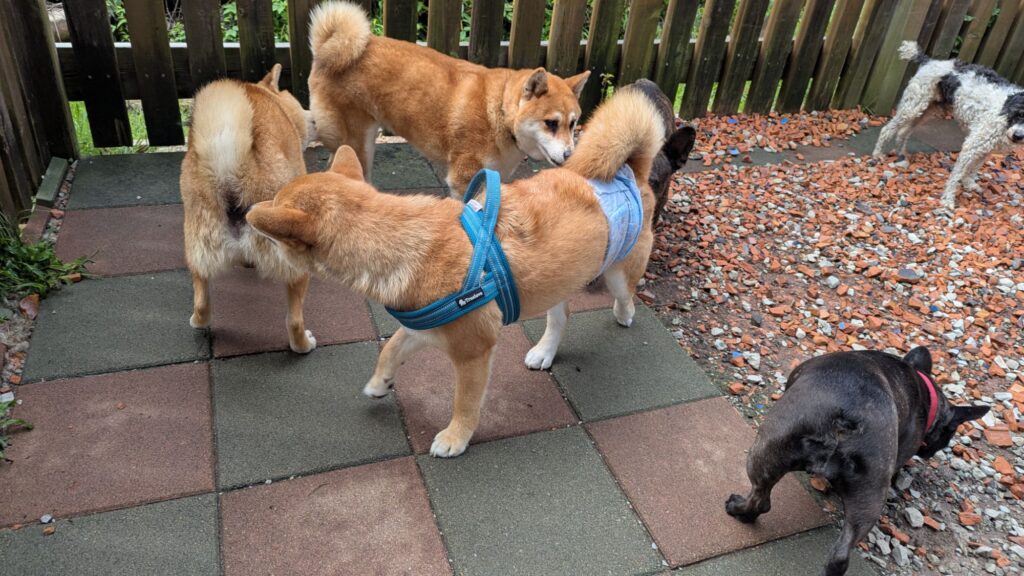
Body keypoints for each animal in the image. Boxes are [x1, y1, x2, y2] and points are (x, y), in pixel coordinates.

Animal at [180, 64, 318, 353]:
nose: (315, 121)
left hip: (197, 250)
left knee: (202, 304)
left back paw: (198, 321)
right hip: (293, 263)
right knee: (294, 321)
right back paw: (303, 345)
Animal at [245, 88, 665, 457]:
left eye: (273, 225)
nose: (245, 217)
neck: (403, 243)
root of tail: (631, 171)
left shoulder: (473, 352)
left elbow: (465, 404)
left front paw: (455, 438)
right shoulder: (422, 326)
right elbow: (390, 349)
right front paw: (380, 383)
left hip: (617, 272)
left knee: (625, 297)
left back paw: (623, 315)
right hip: (560, 280)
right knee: (562, 316)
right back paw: (545, 351)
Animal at [307, 1, 590, 193]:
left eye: (573, 123)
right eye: (551, 123)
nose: (570, 155)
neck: (499, 114)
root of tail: (326, 48)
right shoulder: (462, 179)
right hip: (359, 143)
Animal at [725, 347, 989, 576]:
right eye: (948, 436)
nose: (932, 451)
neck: (925, 392)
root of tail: (846, 418)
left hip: (766, 444)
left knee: (761, 499)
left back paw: (738, 510)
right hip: (871, 488)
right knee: (842, 553)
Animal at [873, 41, 1024, 210]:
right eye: (1019, 114)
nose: (1018, 136)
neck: (1005, 115)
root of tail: (929, 61)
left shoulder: (986, 149)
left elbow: (973, 170)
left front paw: (969, 183)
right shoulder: (972, 146)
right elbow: (957, 175)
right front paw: (948, 199)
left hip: (925, 111)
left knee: (903, 131)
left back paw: (902, 154)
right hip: (912, 107)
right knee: (887, 129)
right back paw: (877, 154)